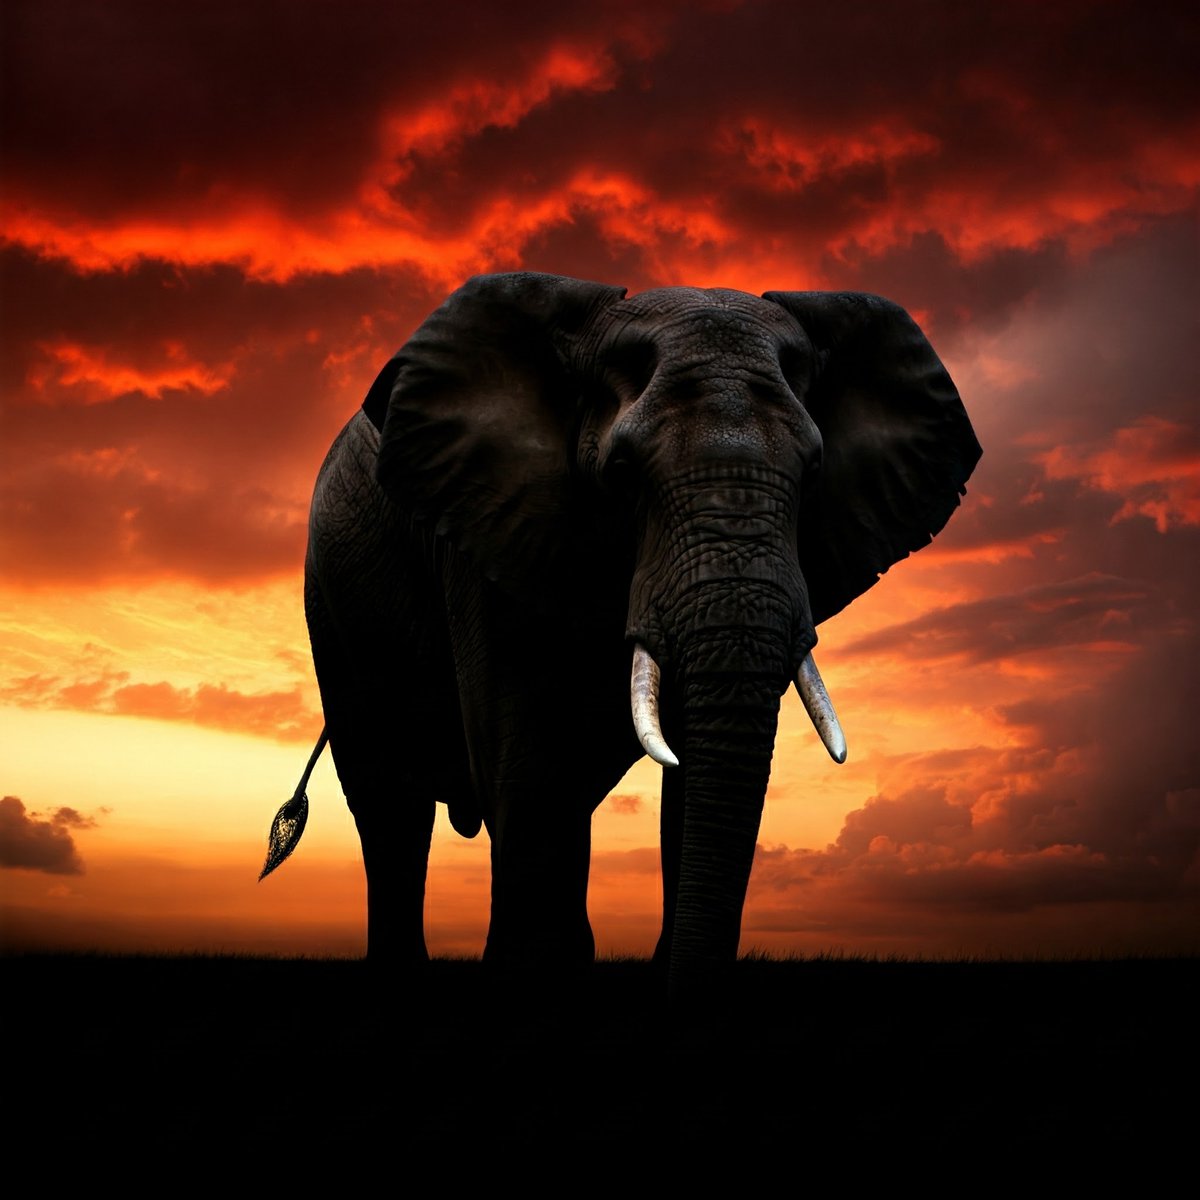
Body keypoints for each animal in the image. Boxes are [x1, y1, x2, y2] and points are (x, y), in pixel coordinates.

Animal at [263, 271, 981, 998]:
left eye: (812, 474)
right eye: (623, 473)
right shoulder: (487, 527)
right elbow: (529, 760)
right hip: (333, 608)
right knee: (389, 802)